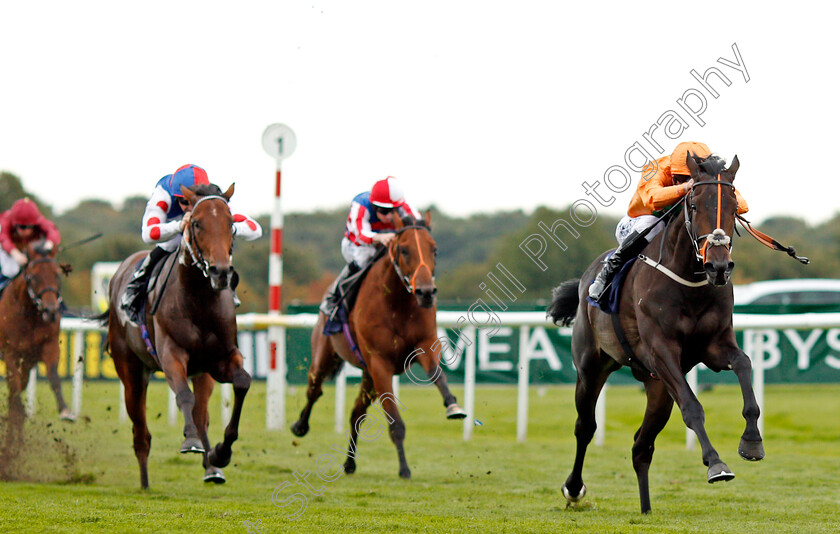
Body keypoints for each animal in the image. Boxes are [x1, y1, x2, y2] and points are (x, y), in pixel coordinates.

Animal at [0, 241, 72, 450]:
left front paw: (65, 411)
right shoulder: (10, 353)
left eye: (57, 274)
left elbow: (54, 377)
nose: (51, 311)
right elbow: (16, 395)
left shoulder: (49, 346)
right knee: (14, 393)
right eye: (33, 277)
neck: (29, 314)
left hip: (27, 363)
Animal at [103, 185, 251, 490]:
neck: (199, 299)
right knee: (141, 432)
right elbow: (183, 395)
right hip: (131, 371)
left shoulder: (222, 358)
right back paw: (145, 482)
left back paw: (212, 468)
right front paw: (191, 440)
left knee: (202, 413)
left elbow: (242, 383)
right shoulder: (171, 353)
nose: (220, 271)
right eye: (197, 224)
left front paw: (221, 453)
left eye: (231, 224)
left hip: (202, 373)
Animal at [294, 211, 470, 480]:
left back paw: (349, 464)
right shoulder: (380, 363)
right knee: (314, 389)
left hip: (368, 376)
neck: (397, 303)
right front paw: (404, 469)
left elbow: (437, 374)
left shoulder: (425, 344)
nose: (426, 292)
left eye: (435, 249)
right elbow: (395, 422)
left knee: (356, 413)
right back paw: (300, 426)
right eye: (404, 249)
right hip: (326, 354)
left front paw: (453, 405)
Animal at [548, 154, 764, 516]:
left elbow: (744, 364)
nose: (719, 266)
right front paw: (716, 464)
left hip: (657, 386)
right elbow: (692, 407)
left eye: (735, 206)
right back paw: (574, 489)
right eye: (693, 203)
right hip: (592, 367)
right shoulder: (661, 351)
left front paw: (751, 441)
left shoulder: (714, 346)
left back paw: (646, 508)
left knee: (641, 444)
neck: (689, 281)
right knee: (585, 427)